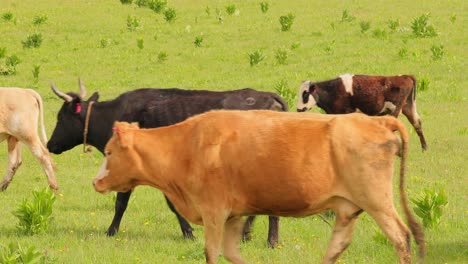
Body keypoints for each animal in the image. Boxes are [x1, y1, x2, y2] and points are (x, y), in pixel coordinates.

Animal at [48, 80, 288, 248]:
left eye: (60, 117)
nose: (50, 145)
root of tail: (267, 95)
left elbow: (123, 203)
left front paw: (110, 231)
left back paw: (270, 241)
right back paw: (248, 234)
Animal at [93, 110, 426, 262]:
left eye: (109, 152)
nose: (96, 181)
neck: (188, 145)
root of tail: (375, 120)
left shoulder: (214, 212)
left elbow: (212, 252)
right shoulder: (234, 216)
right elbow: (232, 253)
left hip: (377, 201)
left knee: (401, 237)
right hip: (348, 209)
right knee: (336, 248)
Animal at [296, 75, 428, 151]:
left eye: (305, 94)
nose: (298, 109)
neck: (332, 90)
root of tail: (405, 76)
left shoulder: (346, 112)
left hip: (395, 109)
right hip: (408, 106)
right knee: (417, 123)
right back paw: (424, 148)